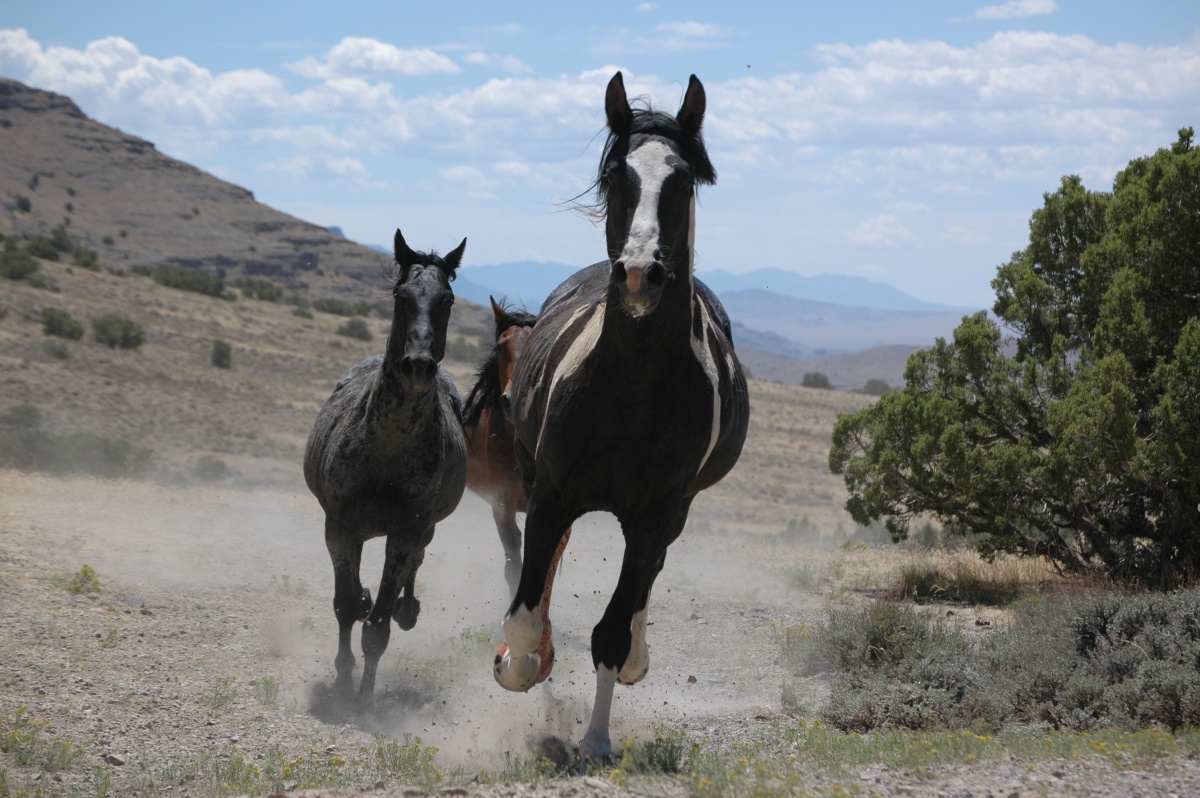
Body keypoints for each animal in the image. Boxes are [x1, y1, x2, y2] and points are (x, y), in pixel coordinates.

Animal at [304, 229, 468, 705]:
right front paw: (343, 681)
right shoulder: (339, 526)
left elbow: (377, 626)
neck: (386, 451)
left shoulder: (406, 531)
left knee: (412, 571)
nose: (417, 366)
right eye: (401, 296)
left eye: (447, 299)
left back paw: (406, 607)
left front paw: (364, 700)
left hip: (423, 529)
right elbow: (344, 607)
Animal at [492, 71, 744, 758]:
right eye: (614, 177)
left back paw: (634, 657)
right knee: (542, 572)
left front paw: (598, 740)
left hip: (671, 515)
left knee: (641, 587)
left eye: (682, 181)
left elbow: (612, 629)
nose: (638, 274)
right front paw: (521, 663)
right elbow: (525, 607)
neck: (630, 388)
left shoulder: (656, 514)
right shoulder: (551, 493)